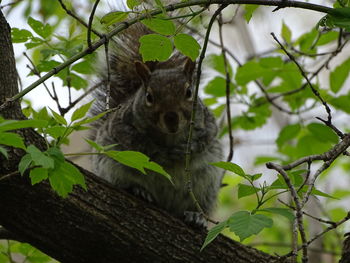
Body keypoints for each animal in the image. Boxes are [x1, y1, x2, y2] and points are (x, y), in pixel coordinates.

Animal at [89, 22, 221, 225]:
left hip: (207, 183)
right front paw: (160, 153)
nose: (172, 120)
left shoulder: (207, 123)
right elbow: (136, 142)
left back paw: (195, 215)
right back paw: (139, 190)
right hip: (111, 166)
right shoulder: (121, 125)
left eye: (189, 92)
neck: (169, 136)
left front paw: (185, 149)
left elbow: (206, 138)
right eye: (149, 97)